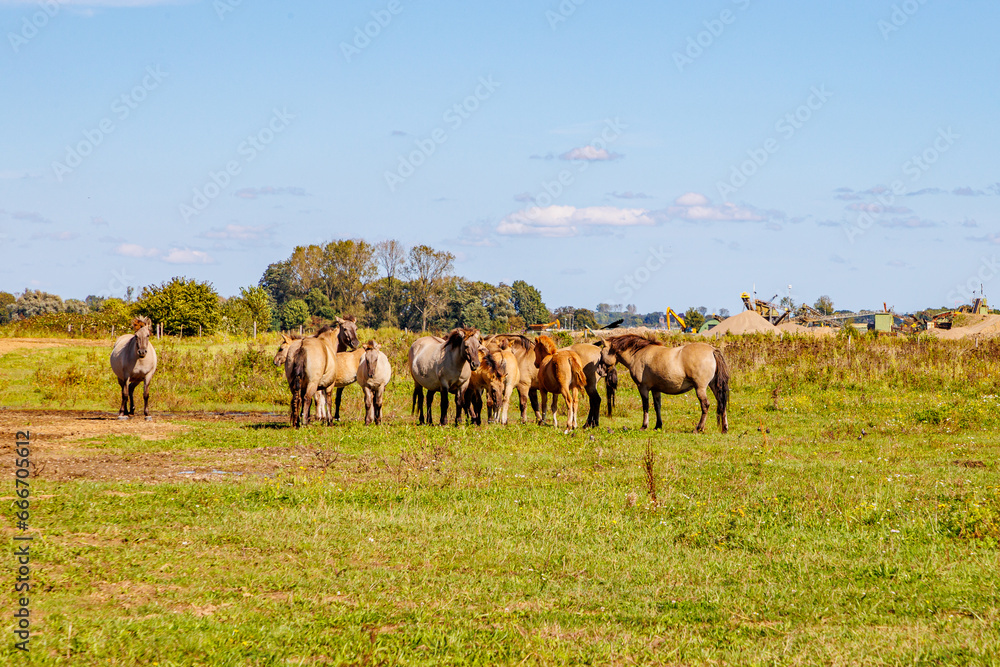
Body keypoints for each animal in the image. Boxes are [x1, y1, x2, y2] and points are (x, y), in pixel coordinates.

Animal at [598, 334, 730, 433]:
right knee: (721, 402)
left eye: (601, 353)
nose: (599, 371)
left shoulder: (643, 388)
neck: (638, 354)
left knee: (705, 405)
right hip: (714, 386)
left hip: (700, 388)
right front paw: (658, 426)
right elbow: (657, 406)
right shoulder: (656, 389)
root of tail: (712, 350)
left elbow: (645, 406)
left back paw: (699, 428)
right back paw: (724, 428)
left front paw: (644, 426)